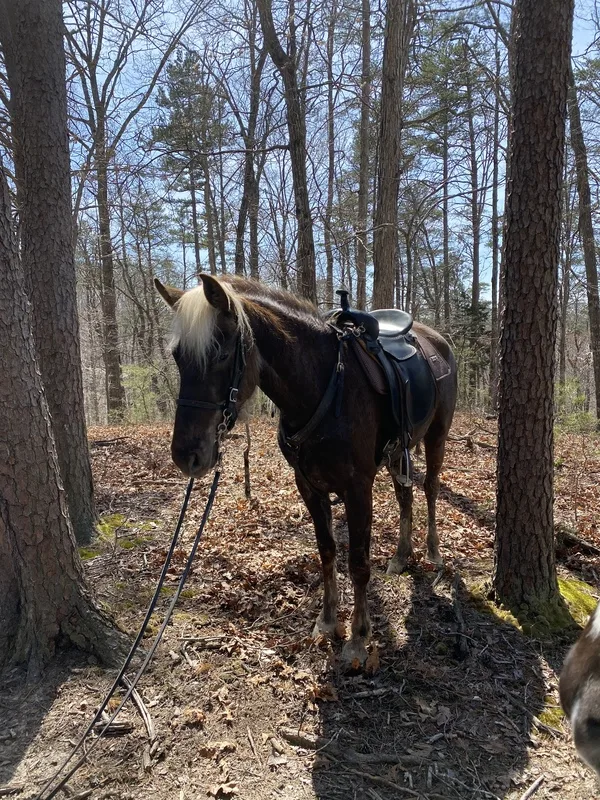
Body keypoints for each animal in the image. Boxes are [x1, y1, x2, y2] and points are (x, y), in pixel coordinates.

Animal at [155, 274, 457, 663]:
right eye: (177, 357)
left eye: (221, 354)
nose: (186, 455)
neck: (323, 386)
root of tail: (436, 339)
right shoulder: (309, 486)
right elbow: (327, 551)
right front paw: (327, 621)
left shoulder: (358, 489)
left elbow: (358, 562)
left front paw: (358, 638)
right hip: (398, 453)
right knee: (405, 495)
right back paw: (401, 557)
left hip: (437, 436)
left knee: (430, 488)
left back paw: (434, 552)